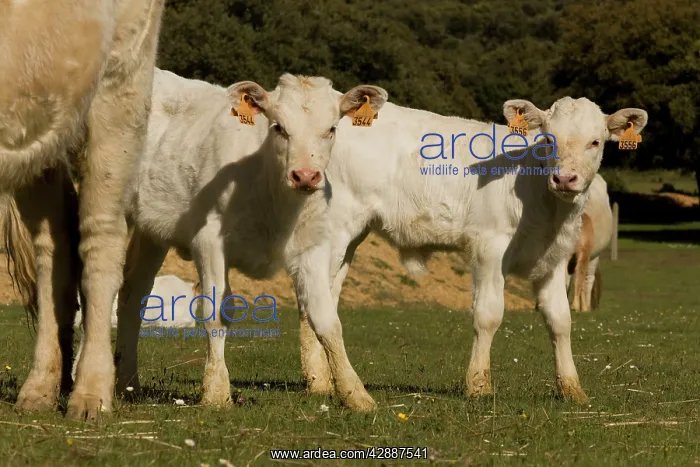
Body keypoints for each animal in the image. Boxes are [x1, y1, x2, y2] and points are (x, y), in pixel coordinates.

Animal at [113, 69, 388, 410]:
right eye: (278, 127)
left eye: (332, 128)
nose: (305, 176)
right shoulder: (209, 241)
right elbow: (215, 312)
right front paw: (216, 392)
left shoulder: (312, 248)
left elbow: (326, 320)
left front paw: (356, 394)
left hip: (151, 231)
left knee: (133, 293)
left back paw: (127, 384)